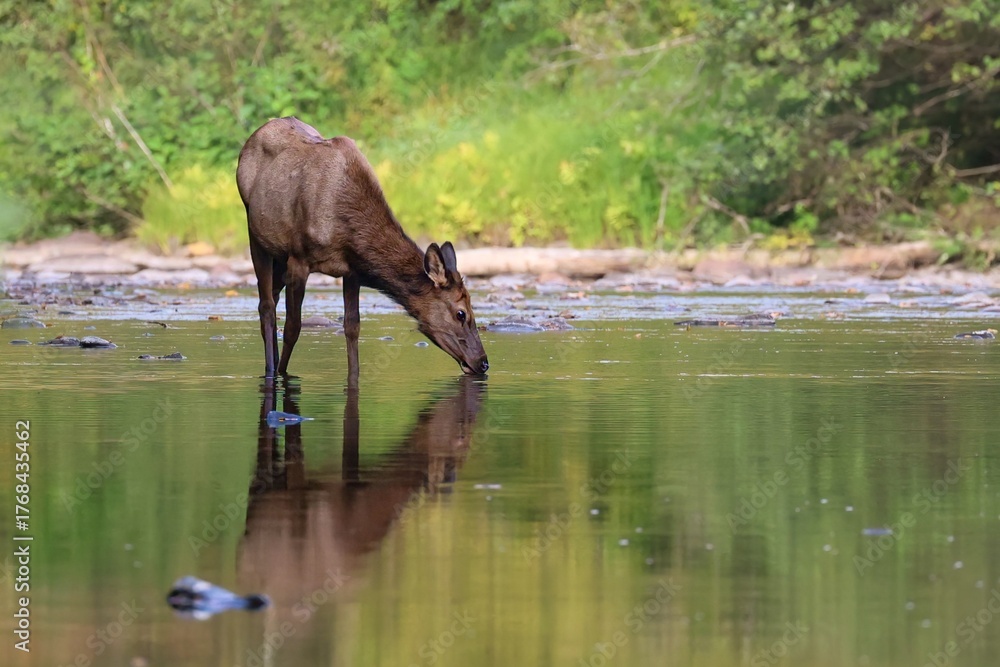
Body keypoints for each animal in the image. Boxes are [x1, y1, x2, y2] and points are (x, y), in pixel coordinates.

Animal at [236, 117, 489, 383]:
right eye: (461, 313)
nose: (483, 363)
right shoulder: (299, 259)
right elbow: (293, 327)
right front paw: (282, 374)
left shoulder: (351, 271)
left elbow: (353, 327)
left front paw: (354, 378)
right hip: (256, 234)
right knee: (266, 306)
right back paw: (270, 368)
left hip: (279, 257)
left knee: (272, 296)